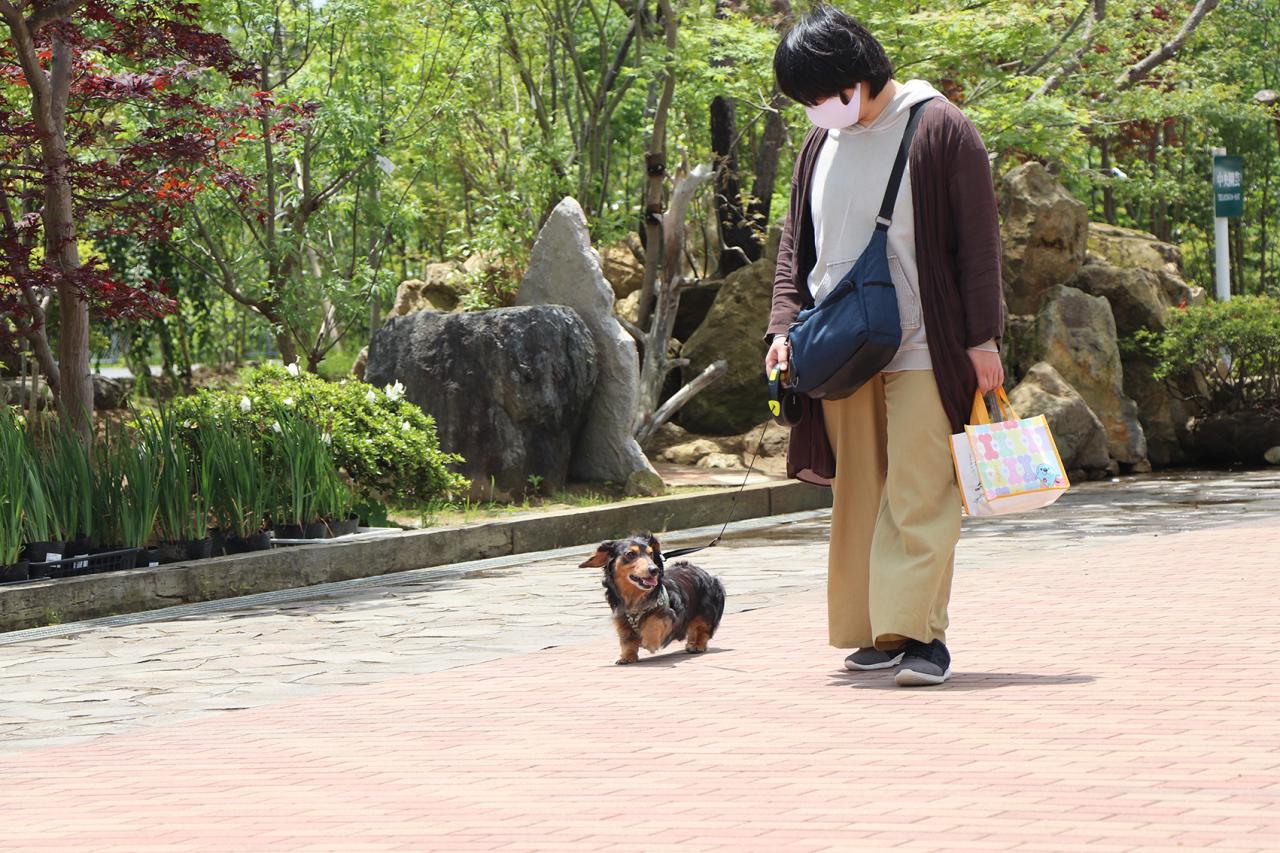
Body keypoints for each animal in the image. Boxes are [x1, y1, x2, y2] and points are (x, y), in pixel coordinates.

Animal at [578, 532, 721, 666]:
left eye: (651, 553)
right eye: (630, 554)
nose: (654, 570)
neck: (635, 597)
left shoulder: (668, 613)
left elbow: (654, 621)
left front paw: (649, 641)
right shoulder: (621, 619)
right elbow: (626, 640)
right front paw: (626, 656)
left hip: (705, 611)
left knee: (702, 629)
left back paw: (697, 645)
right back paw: (691, 643)